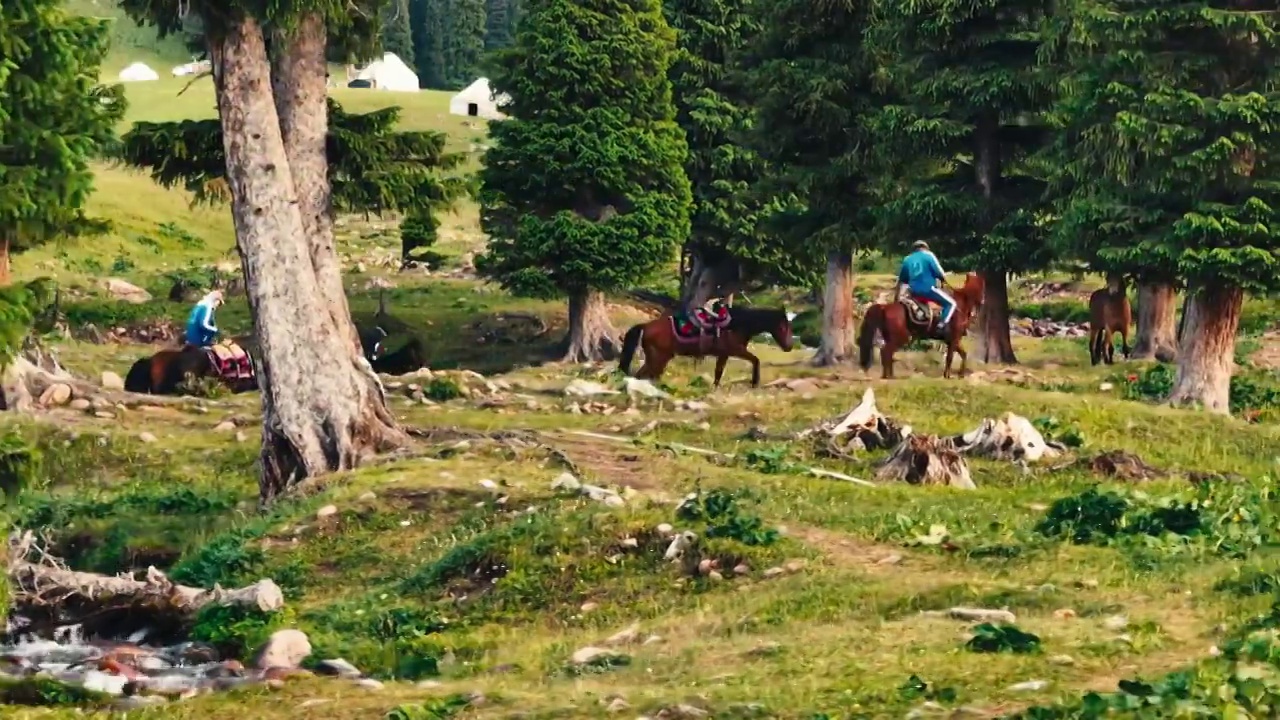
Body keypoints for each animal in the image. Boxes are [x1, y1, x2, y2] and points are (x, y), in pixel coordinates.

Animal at [616, 307, 788, 386]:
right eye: (783, 327)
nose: (789, 346)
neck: (735, 325)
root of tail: (646, 326)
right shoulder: (736, 350)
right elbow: (755, 360)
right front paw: (755, 382)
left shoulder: (724, 354)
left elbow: (718, 372)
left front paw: (715, 388)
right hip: (658, 357)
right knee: (643, 375)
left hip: (659, 358)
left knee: (647, 375)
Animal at [860, 271, 988, 379]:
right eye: (982, 287)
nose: (983, 301)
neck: (960, 305)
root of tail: (885, 307)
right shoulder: (954, 339)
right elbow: (950, 357)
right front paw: (947, 375)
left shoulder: (953, 340)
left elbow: (963, 354)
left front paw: (960, 374)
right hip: (900, 337)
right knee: (886, 351)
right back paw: (888, 376)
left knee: (886, 353)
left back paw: (888, 375)